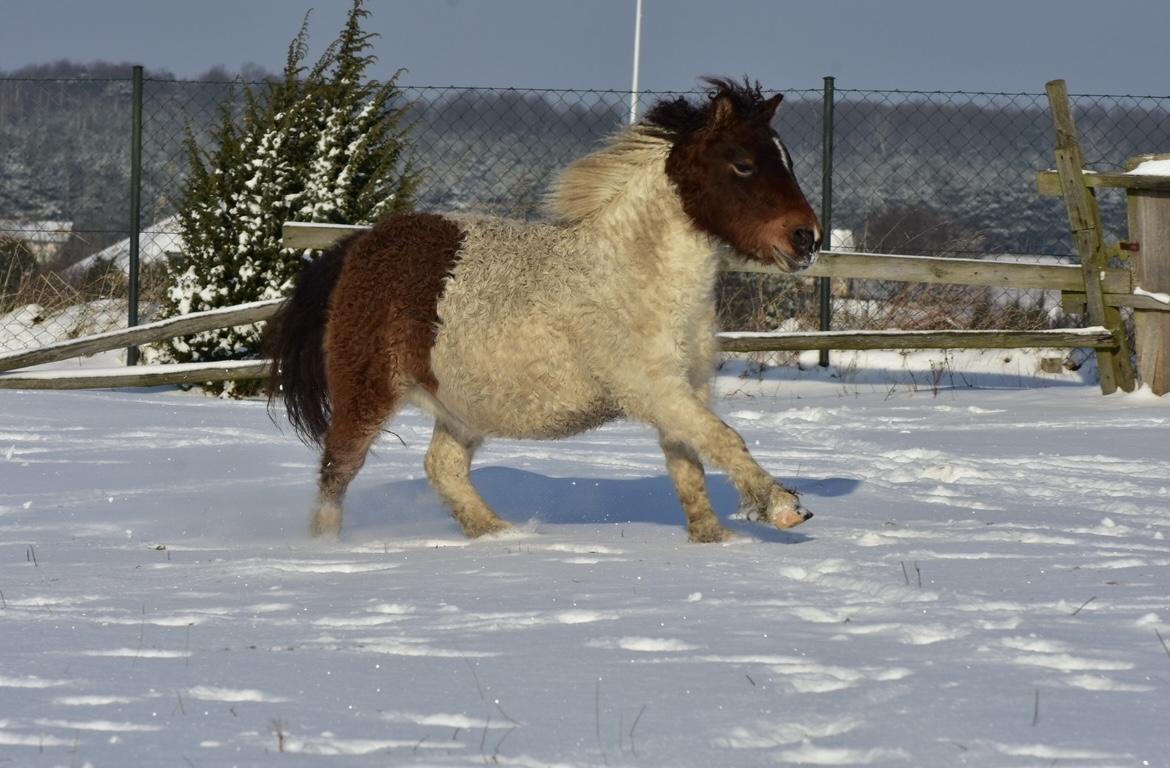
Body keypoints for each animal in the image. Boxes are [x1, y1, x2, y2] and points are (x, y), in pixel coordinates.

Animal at [266, 77, 822, 543]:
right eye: (743, 163)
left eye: (788, 161)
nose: (807, 238)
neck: (633, 275)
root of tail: (357, 247)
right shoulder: (652, 389)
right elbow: (723, 439)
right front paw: (783, 508)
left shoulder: (687, 388)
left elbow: (689, 466)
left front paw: (713, 540)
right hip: (369, 390)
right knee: (338, 468)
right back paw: (327, 549)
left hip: (461, 405)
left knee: (441, 467)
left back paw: (501, 534)